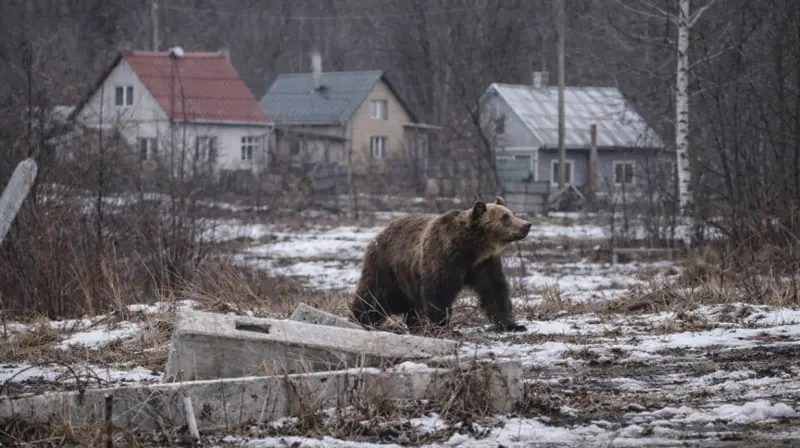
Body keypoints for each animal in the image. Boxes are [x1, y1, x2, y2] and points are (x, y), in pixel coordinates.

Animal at [350, 196, 531, 334]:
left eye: (511, 213)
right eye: (505, 218)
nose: (527, 224)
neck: (471, 249)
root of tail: (378, 235)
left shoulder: (485, 264)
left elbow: (494, 290)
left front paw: (513, 325)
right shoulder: (443, 258)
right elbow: (438, 293)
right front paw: (444, 327)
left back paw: (415, 325)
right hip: (386, 268)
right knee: (373, 296)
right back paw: (359, 320)